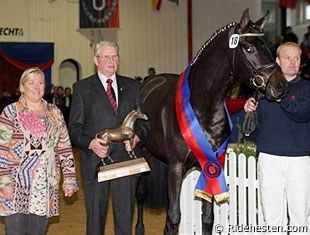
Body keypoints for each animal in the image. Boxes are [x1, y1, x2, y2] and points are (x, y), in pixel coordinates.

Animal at [136, 8, 288, 235]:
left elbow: (207, 218)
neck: (202, 107)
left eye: (270, 47)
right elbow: (173, 218)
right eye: (249, 47)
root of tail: (150, 81)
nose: (281, 86)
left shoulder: (211, 165)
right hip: (144, 155)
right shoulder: (176, 167)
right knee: (141, 193)